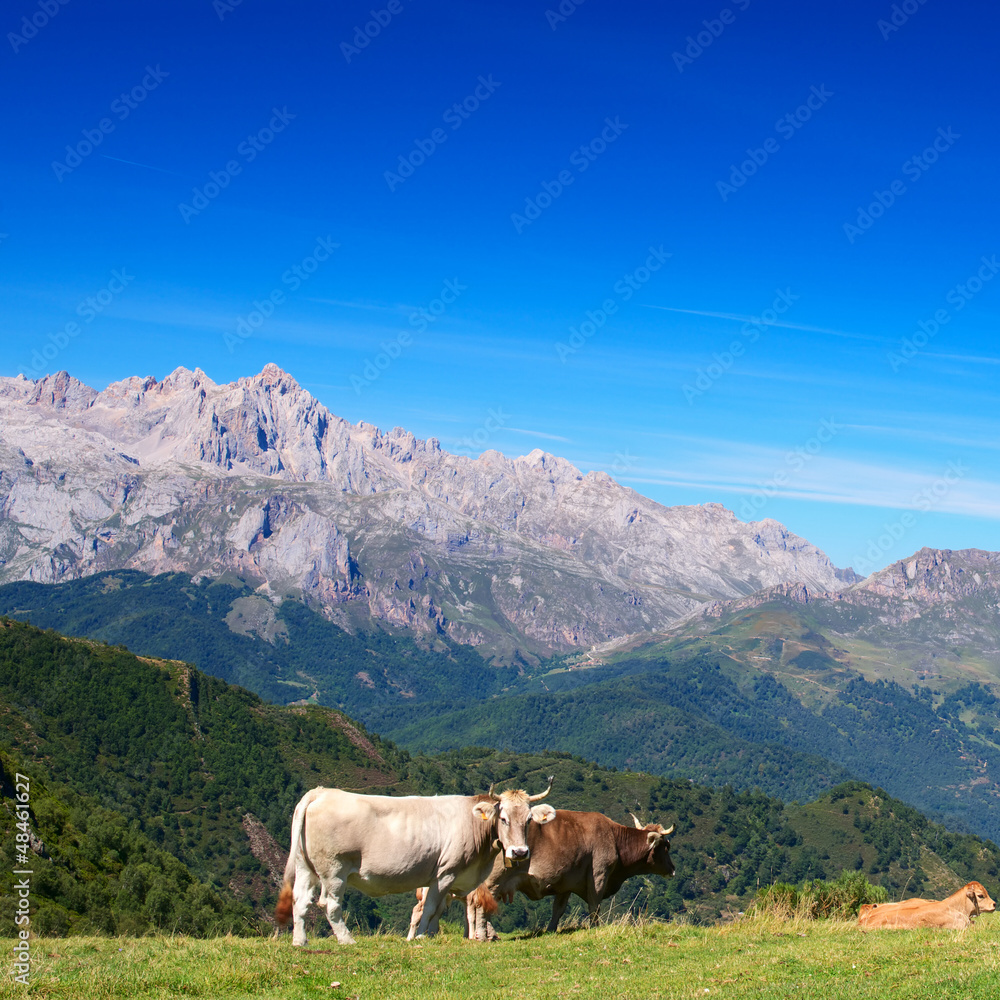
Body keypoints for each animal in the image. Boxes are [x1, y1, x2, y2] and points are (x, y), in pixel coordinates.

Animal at [274, 780, 556, 944]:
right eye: (503, 818)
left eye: (528, 820)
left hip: (305, 866)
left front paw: (429, 936)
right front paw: (419, 937)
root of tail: (320, 793)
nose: (519, 852)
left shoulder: (444, 878)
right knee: (329, 904)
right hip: (334, 870)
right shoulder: (445, 873)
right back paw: (347, 941)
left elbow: (438, 910)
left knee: (300, 901)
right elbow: (430, 908)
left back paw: (300, 942)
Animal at [466, 804, 672, 936]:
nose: (673, 869)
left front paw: (550, 930)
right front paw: (595, 927)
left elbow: (558, 909)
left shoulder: (565, 883)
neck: (615, 839)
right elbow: (594, 905)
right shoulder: (599, 875)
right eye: (667, 846)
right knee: (480, 903)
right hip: (493, 879)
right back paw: (485, 935)